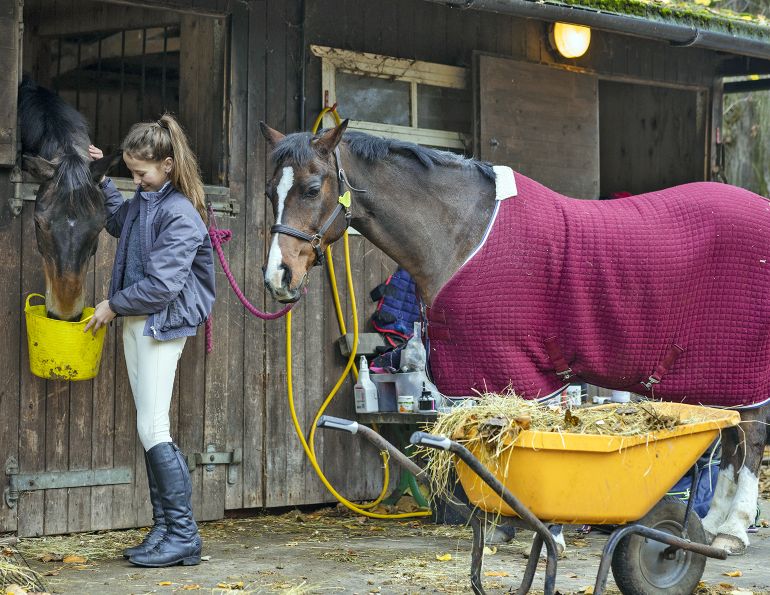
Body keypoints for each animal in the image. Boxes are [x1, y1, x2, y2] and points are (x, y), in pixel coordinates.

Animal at [260, 121, 768, 560]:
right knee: (734, 440)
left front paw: (549, 532)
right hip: (723, 373)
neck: (463, 233)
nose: (277, 278)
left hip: (742, 363)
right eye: (269, 193)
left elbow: (536, 444)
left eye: (311, 188)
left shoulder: (518, 367)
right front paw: (504, 526)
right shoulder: (483, 371)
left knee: (752, 437)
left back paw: (731, 530)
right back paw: (714, 526)